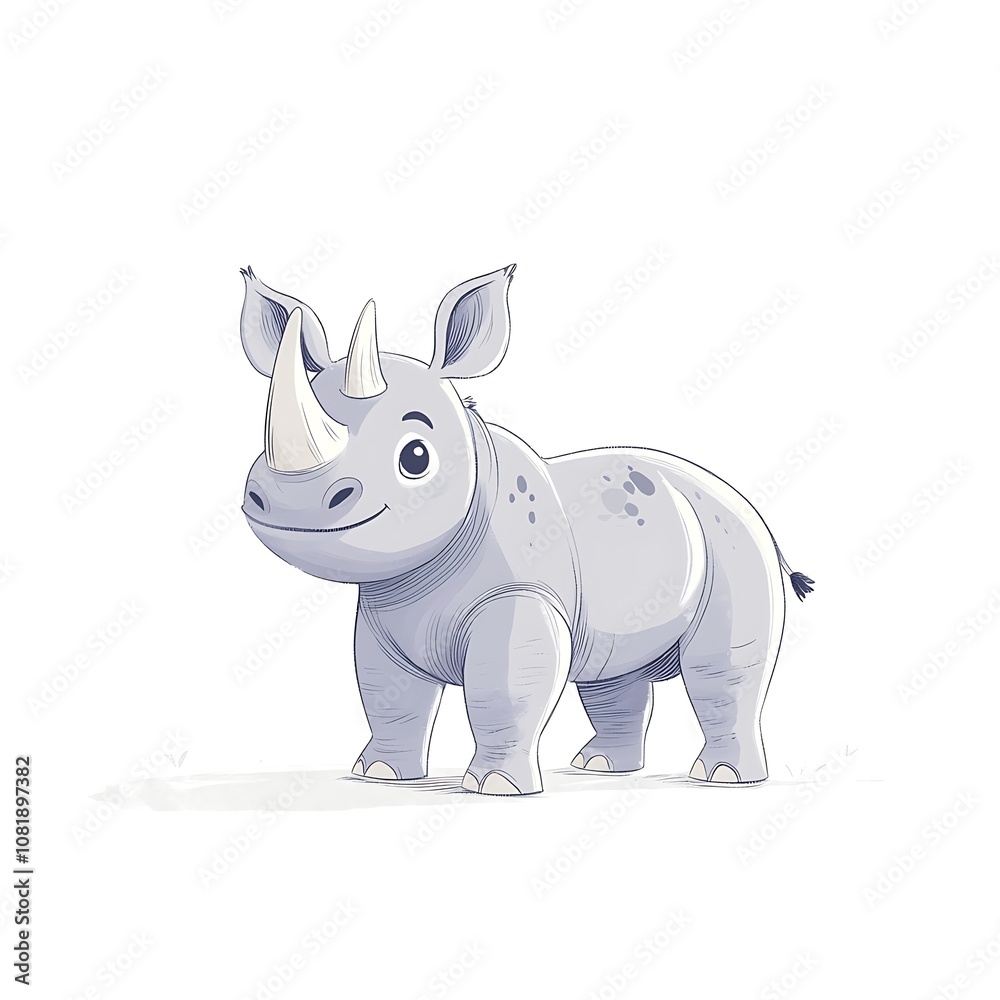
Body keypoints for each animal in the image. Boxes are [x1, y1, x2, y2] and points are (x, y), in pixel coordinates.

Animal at [238, 264, 813, 796]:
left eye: (416, 457)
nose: (291, 500)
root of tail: (746, 503)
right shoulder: (382, 611)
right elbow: (388, 693)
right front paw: (380, 774)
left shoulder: (520, 596)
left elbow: (502, 688)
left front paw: (495, 786)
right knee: (612, 675)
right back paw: (600, 766)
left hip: (733, 539)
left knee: (720, 668)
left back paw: (723, 777)